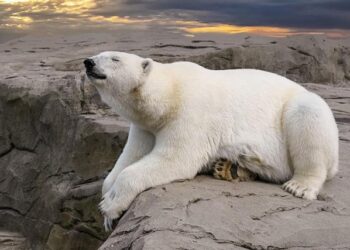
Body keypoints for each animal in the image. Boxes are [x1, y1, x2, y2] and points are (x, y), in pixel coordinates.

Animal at [83, 51, 338, 230]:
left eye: (115, 58)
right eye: (101, 54)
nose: (89, 62)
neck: (169, 94)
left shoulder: (191, 112)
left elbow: (176, 159)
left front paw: (110, 205)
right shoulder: (145, 126)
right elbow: (130, 156)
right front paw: (107, 208)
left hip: (299, 112)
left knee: (308, 118)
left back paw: (299, 186)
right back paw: (229, 167)